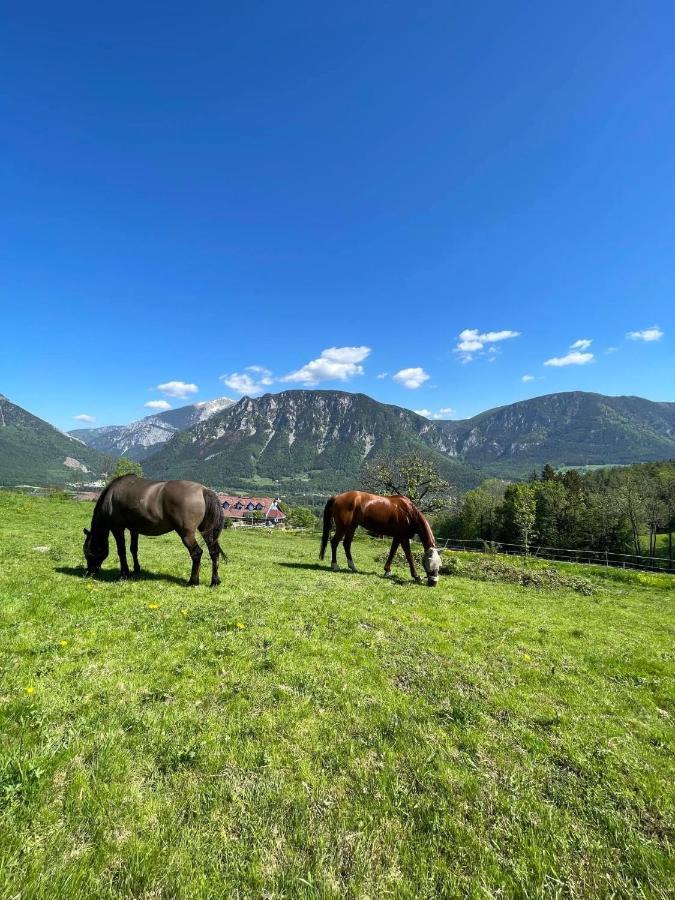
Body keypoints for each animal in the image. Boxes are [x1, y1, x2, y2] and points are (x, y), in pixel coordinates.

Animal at [83, 474, 226, 588]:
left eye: (87, 552)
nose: (89, 572)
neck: (110, 496)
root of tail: (203, 490)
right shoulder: (134, 529)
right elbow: (133, 549)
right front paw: (136, 570)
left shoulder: (117, 528)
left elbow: (121, 551)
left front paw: (124, 574)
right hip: (206, 531)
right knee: (214, 552)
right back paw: (215, 581)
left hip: (186, 533)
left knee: (196, 553)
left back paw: (193, 581)